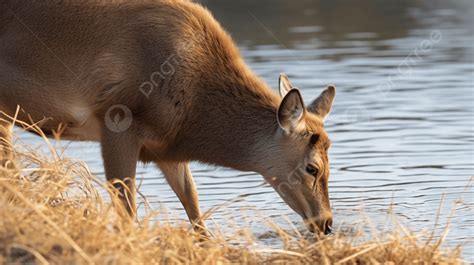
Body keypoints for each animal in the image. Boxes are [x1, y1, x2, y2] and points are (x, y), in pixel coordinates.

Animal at [0, 0, 334, 235]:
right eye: (312, 167)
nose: (327, 223)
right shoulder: (117, 119)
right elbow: (127, 210)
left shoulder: (165, 150)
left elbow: (195, 208)